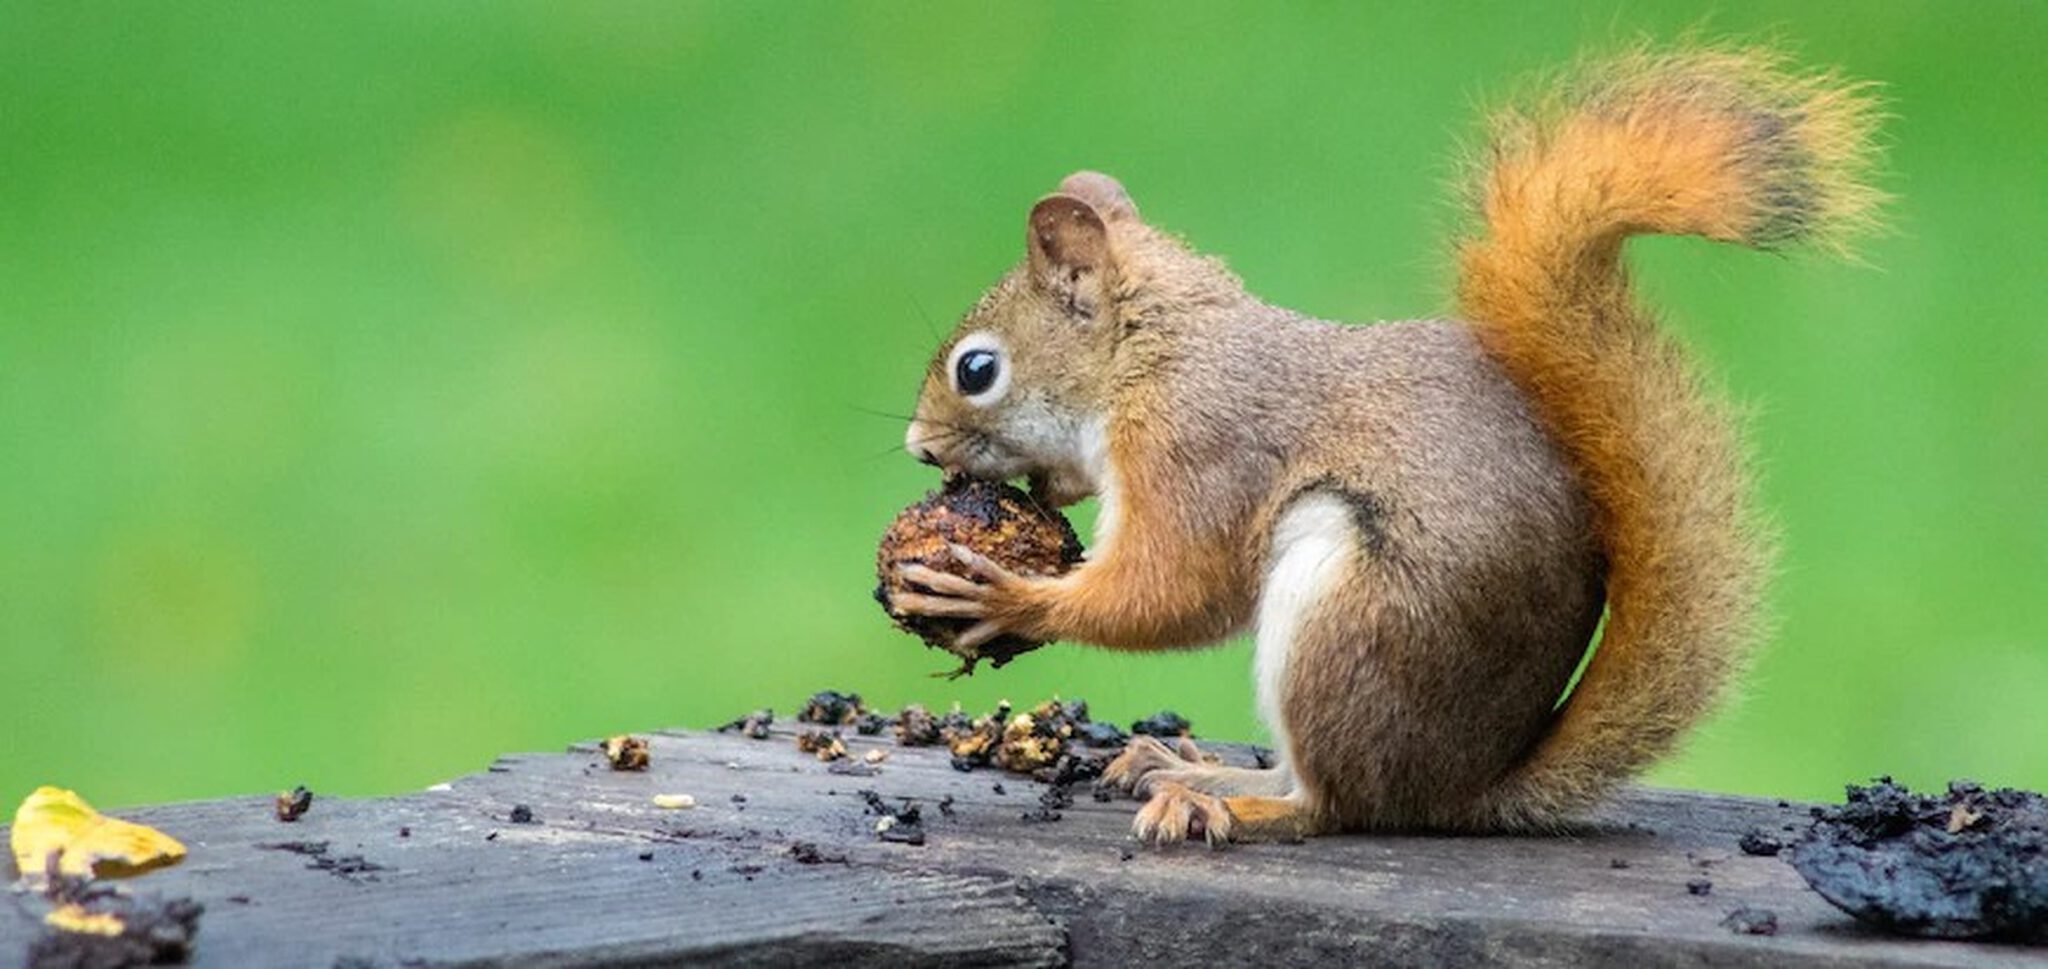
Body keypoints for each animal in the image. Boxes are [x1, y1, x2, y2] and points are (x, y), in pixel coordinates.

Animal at [888, 49, 1875, 844]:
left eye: (978, 369)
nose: (918, 447)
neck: (1154, 353)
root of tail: (1460, 789)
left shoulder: (1198, 447)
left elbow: (1175, 589)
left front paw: (1007, 594)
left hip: (1346, 615)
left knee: (1332, 805)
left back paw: (1226, 800)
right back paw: (1184, 764)